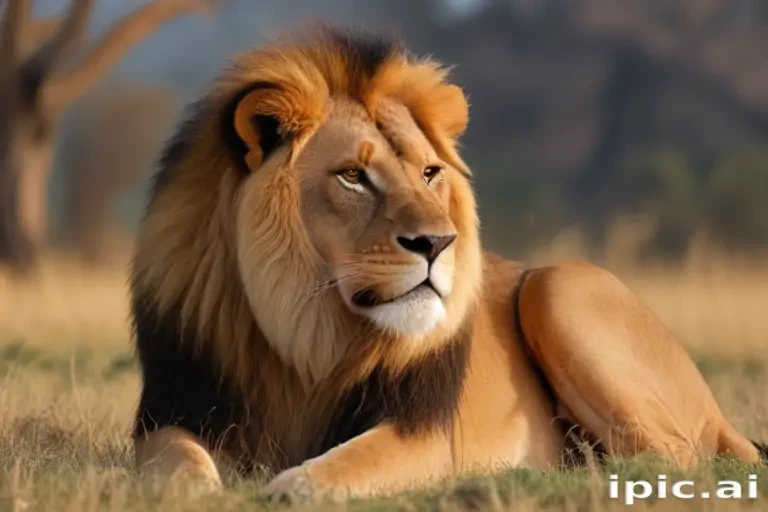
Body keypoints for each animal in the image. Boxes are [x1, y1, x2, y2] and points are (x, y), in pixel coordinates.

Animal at [130, 26, 765, 500]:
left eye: (429, 172)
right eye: (353, 176)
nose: (438, 243)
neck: (303, 330)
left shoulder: (424, 433)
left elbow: (343, 466)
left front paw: (287, 488)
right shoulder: (172, 411)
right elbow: (175, 462)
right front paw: (203, 491)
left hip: (558, 285)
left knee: (677, 461)